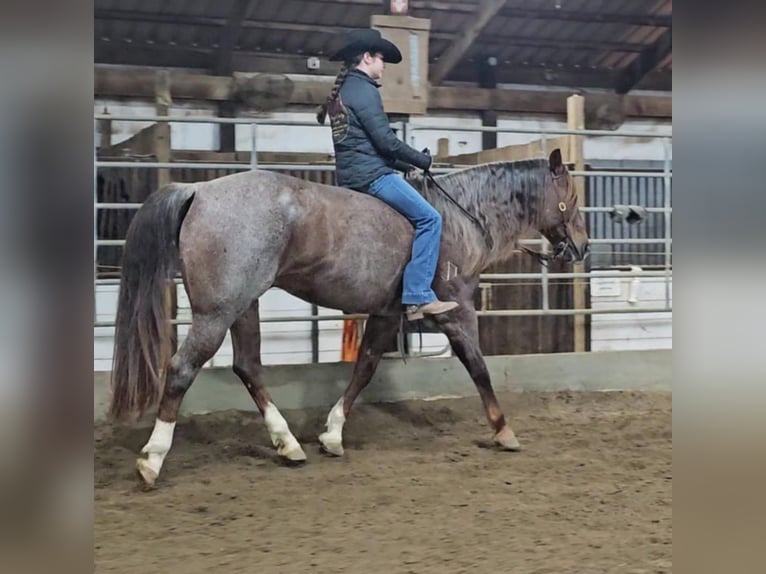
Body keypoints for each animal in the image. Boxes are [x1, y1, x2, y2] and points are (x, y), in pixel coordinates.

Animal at [109, 148, 589, 487]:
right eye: (570, 198)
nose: (582, 247)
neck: (458, 218)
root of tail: (200, 191)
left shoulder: (385, 314)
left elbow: (364, 369)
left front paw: (333, 434)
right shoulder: (457, 310)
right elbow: (478, 368)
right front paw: (504, 431)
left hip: (243, 306)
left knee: (247, 367)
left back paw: (288, 444)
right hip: (218, 310)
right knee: (181, 369)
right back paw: (152, 459)